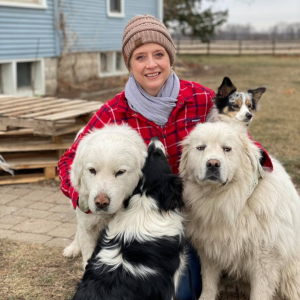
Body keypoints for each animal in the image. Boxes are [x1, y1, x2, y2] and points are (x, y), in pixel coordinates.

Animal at [179, 122, 300, 300]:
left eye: (227, 149)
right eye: (200, 148)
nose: (213, 164)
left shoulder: (265, 261)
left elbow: (259, 294)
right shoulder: (210, 252)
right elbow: (208, 284)